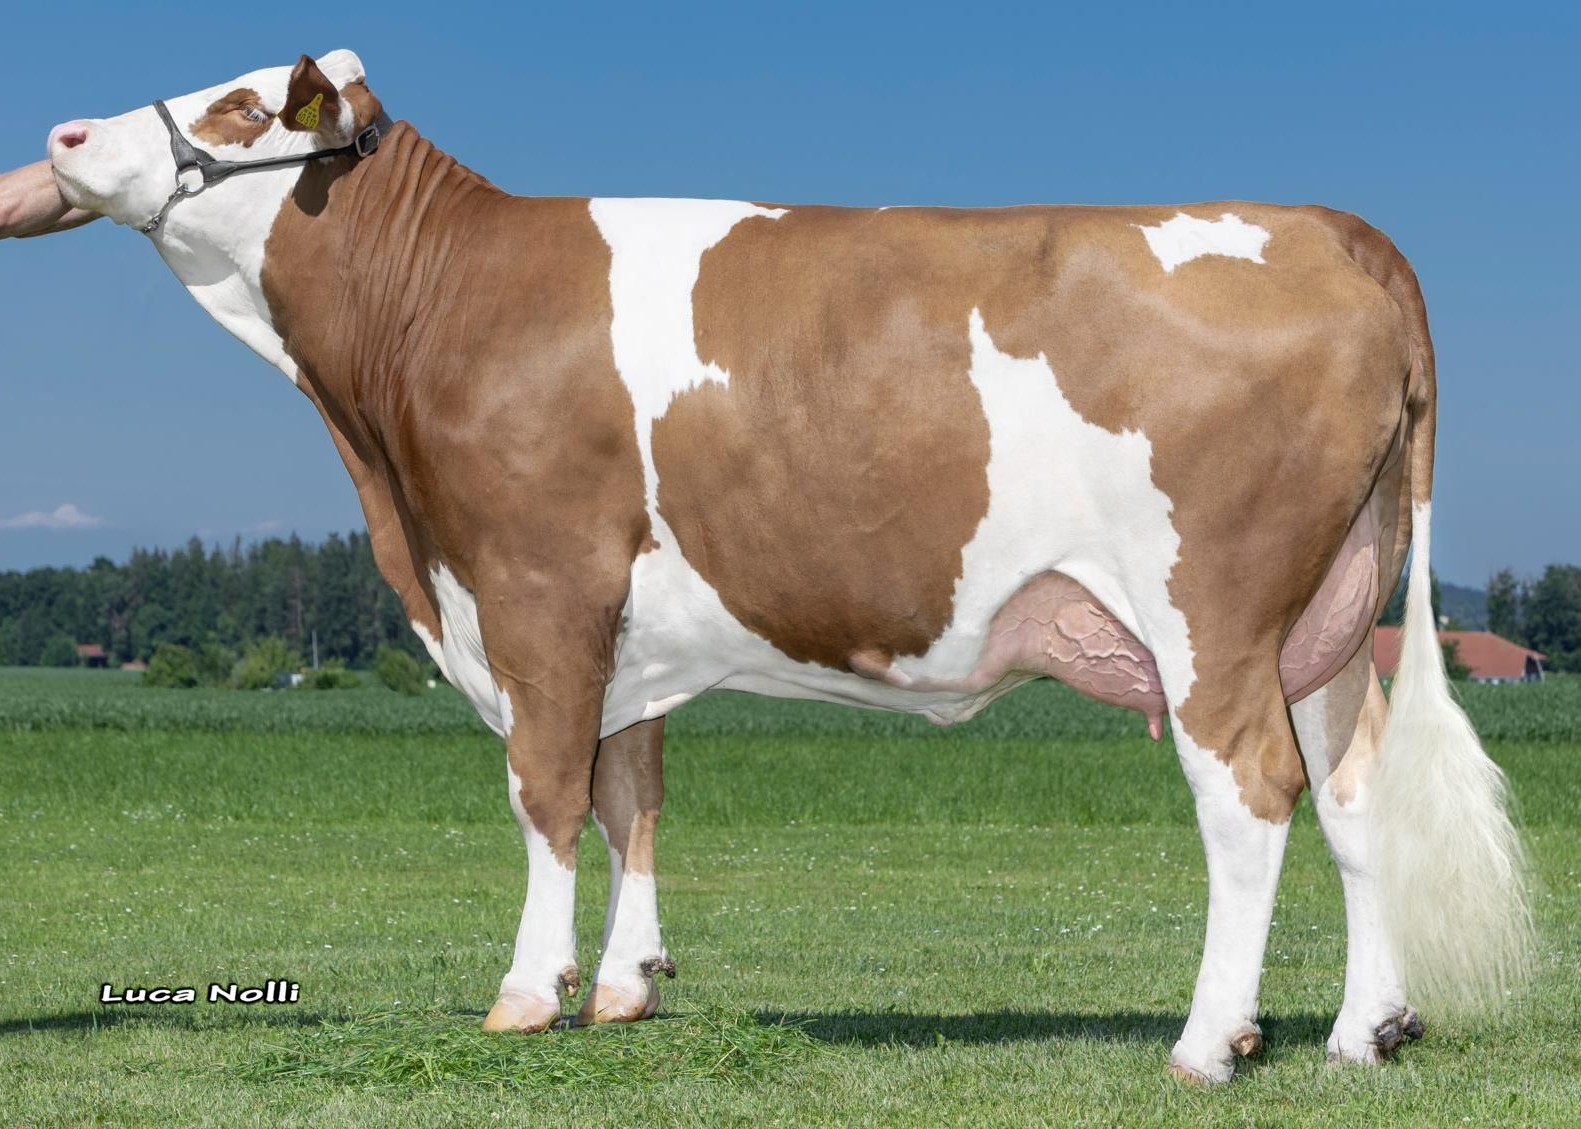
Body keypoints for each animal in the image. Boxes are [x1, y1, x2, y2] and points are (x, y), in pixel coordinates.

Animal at [9, 50, 1529, 1083]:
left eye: (241, 107)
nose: (67, 133)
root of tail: (1327, 225)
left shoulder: (536, 586)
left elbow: (547, 792)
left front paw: (526, 993)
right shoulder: (618, 622)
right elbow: (630, 792)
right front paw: (624, 985)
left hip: (1209, 607)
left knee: (1252, 794)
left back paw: (1211, 1040)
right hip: (1327, 614)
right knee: (1352, 793)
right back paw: (1364, 1028)